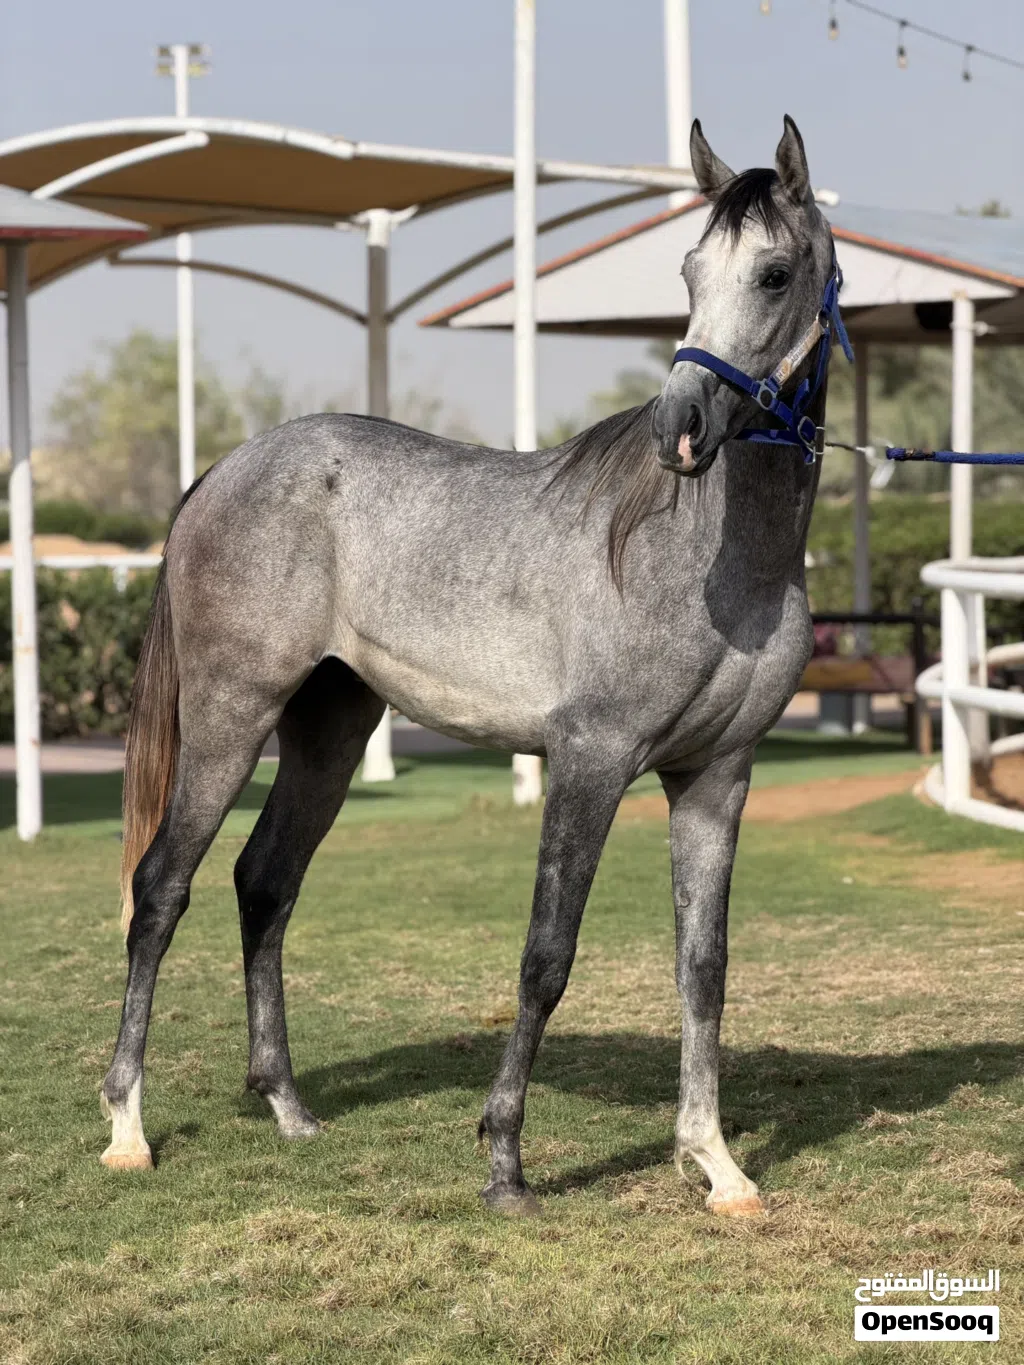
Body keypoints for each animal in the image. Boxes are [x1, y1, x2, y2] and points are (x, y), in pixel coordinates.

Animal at [101, 116, 844, 1219]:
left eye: (775, 271)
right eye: (687, 268)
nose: (679, 428)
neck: (705, 555)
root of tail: (223, 473)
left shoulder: (716, 775)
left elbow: (702, 964)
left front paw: (717, 1165)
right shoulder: (589, 760)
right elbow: (546, 956)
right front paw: (504, 1164)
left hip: (331, 727)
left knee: (264, 881)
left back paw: (289, 1109)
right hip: (233, 718)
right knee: (161, 887)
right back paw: (128, 1129)